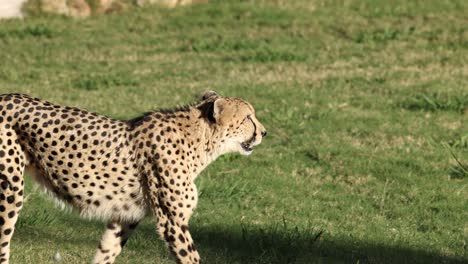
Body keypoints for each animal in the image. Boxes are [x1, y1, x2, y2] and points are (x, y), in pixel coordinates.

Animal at [0, 90, 266, 262]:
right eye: (248, 117)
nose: (264, 132)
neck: (199, 141)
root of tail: (7, 96)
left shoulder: (125, 217)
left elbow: (105, 253)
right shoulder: (172, 222)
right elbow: (192, 258)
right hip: (10, 192)